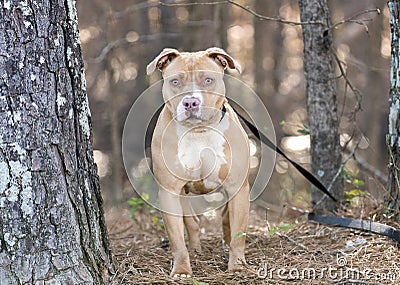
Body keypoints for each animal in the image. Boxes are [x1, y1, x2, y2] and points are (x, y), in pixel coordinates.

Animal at [147, 47, 250, 276]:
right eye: (175, 81)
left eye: (208, 80)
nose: (190, 102)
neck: (198, 132)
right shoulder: (169, 191)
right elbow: (177, 239)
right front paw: (182, 269)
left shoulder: (237, 187)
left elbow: (238, 232)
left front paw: (237, 266)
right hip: (182, 195)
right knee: (192, 222)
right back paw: (195, 250)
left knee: (225, 219)